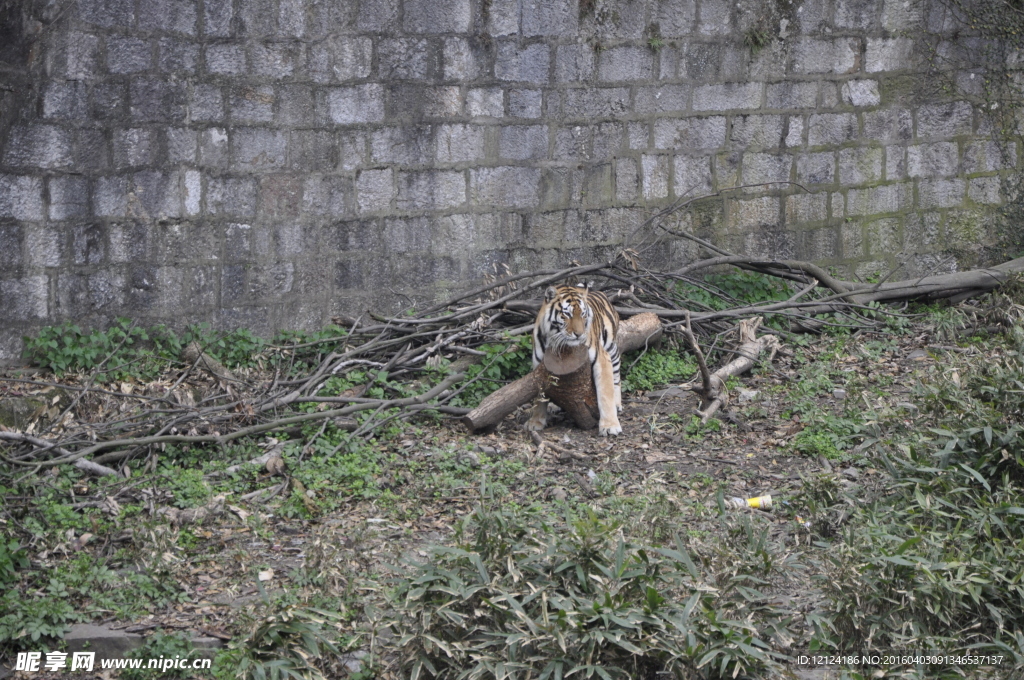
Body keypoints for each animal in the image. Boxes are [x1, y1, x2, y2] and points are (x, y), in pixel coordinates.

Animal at [528, 280, 622, 436]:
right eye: (567, 314)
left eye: (583, 314)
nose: (579, 334)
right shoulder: (539, 365)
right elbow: (540, 396)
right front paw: (536, 422)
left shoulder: (601, 359)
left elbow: (605, 393)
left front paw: (610, 426)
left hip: (611, 348)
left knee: (616, 376)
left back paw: (617, 403)